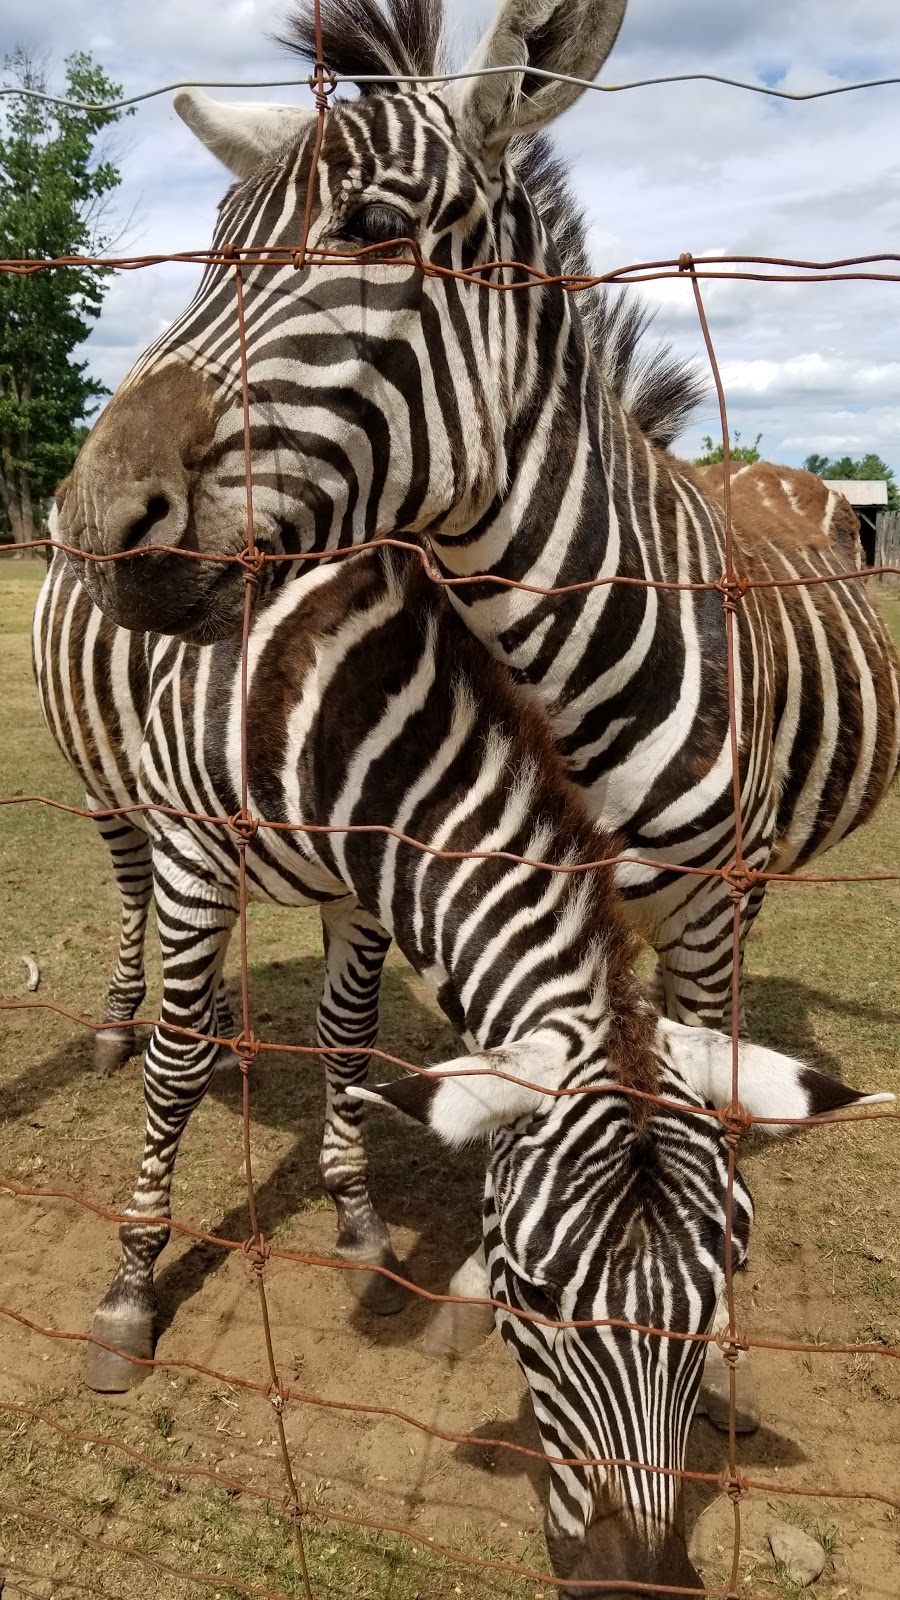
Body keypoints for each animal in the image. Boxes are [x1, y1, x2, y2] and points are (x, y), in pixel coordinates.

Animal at [29, 544, 883, 1593]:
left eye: (724, 1286)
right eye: (532, 1294)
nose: (632, 1577)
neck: (338, 695)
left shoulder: (367, 876)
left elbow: (348, 1037)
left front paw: (358, 1224)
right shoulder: (192, 844)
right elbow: (176, 1065)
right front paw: (131, 1289)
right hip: (116, 798)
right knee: (132, 896)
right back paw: (119, 1026)